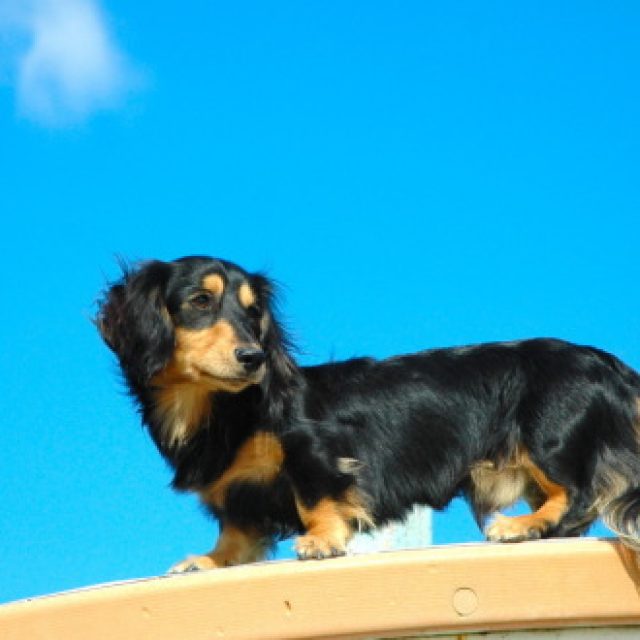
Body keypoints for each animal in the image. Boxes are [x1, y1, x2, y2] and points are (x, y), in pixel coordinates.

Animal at [97, 255, 640, 571]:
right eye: (201, 301)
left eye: (252, 313)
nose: (253, 357)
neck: (225, 410)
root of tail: (609, 364)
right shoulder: (236, 497)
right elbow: (236, 533)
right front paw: (209, 561)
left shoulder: (315, 452)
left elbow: (316, 498)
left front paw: (321, 540)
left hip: (549, 436)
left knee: (575, 496)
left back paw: (522, 526)